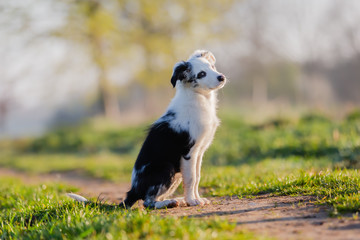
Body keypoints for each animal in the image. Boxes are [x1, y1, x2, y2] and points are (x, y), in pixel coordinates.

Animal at [68, 50, 225, 208]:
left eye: (212, 67)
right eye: (201, 74)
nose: (222, 77)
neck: (199, 98)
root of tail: (132, 191)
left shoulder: (199, 152)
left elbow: (197, 177)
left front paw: (196, 199)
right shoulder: (188, 152)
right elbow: (191, 179)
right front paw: (192, 201)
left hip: (176, 174)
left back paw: (177, 200)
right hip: (166, 167)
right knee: (148, 202)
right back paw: (170, 202)